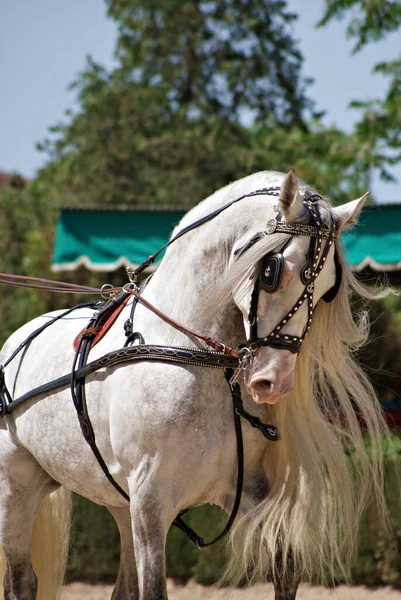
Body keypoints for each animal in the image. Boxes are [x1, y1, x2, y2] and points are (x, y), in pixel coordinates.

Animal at [0, 170, 388, 600]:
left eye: (328, 289)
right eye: (271, 272)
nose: (273, 382)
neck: (191, 353)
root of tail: (16, 340)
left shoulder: (243, 490)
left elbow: (286, 566)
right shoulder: (151, 502)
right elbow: (155, 589)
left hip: (119, 504)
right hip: (16, 494)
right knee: (21, 582)